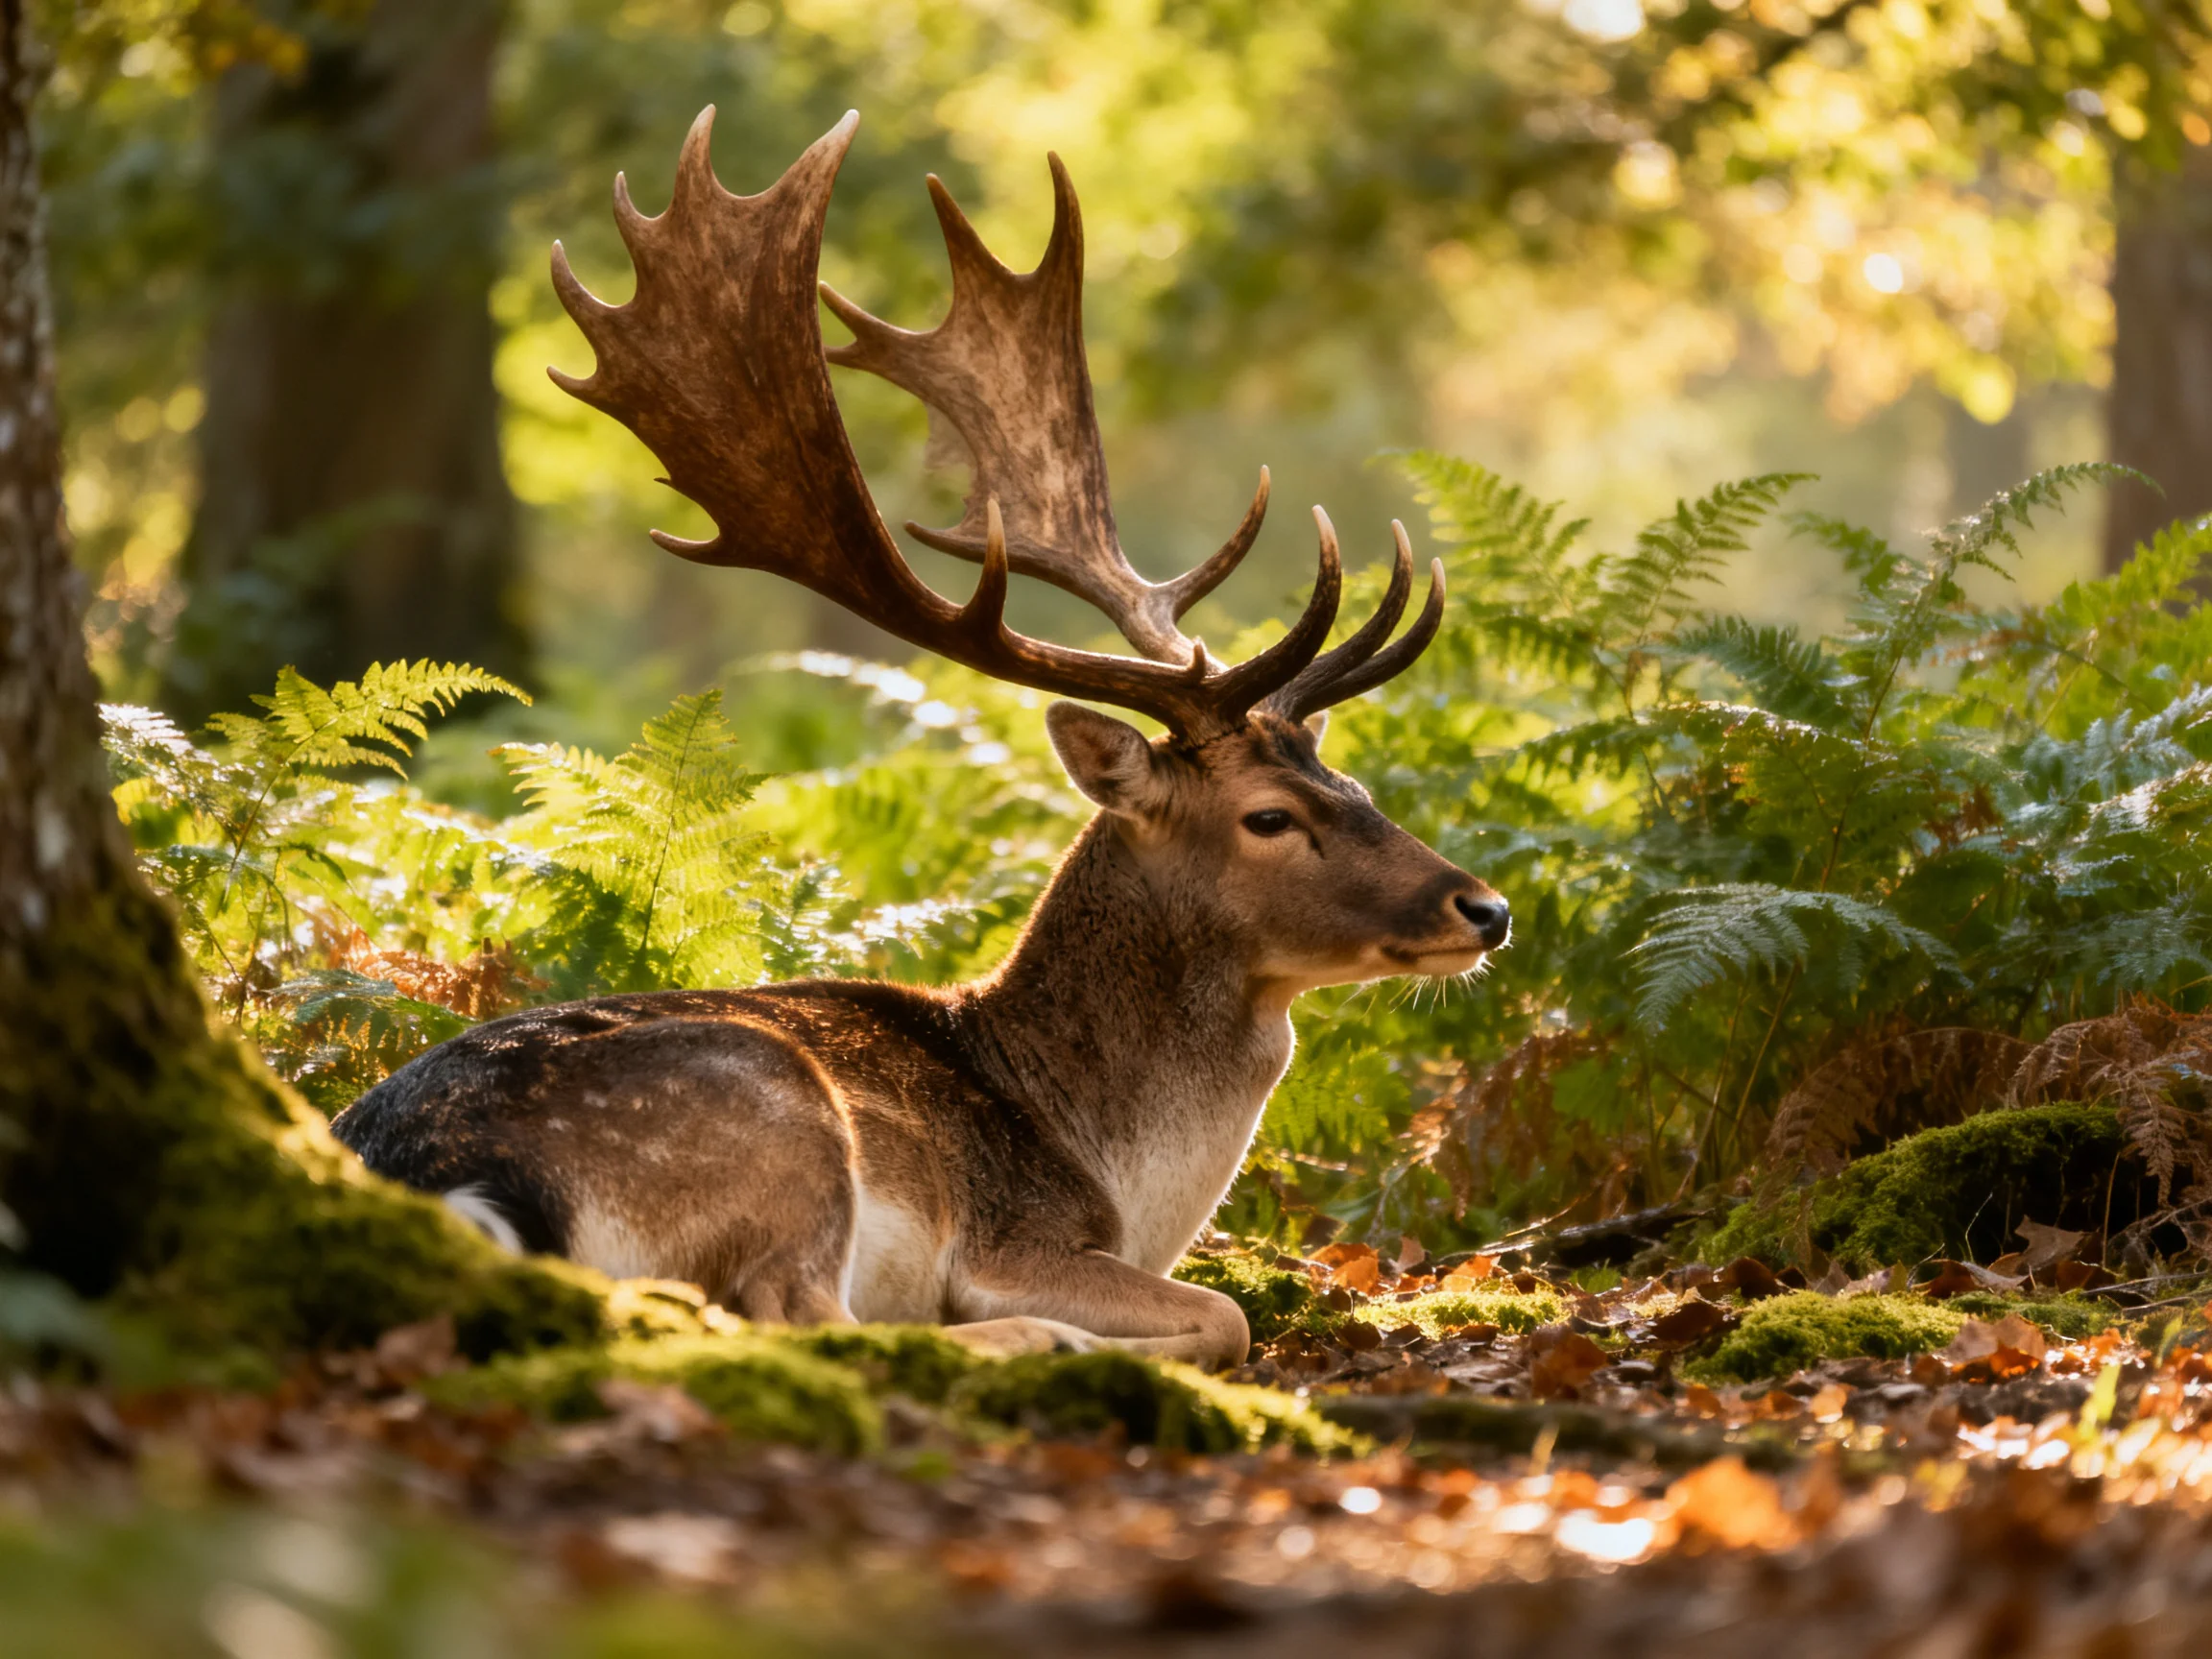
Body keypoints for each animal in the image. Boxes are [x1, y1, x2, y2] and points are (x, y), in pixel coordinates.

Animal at [331, 110, 1511, 1369]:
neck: (1109, 1168)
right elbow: (1225, 1313)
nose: (1485, 909)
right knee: (791, 1315)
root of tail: (447, 1180)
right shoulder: (1005, 1236)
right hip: (775, 1117)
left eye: (1357, 784)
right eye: (1270, 817)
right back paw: (1042, 1340)